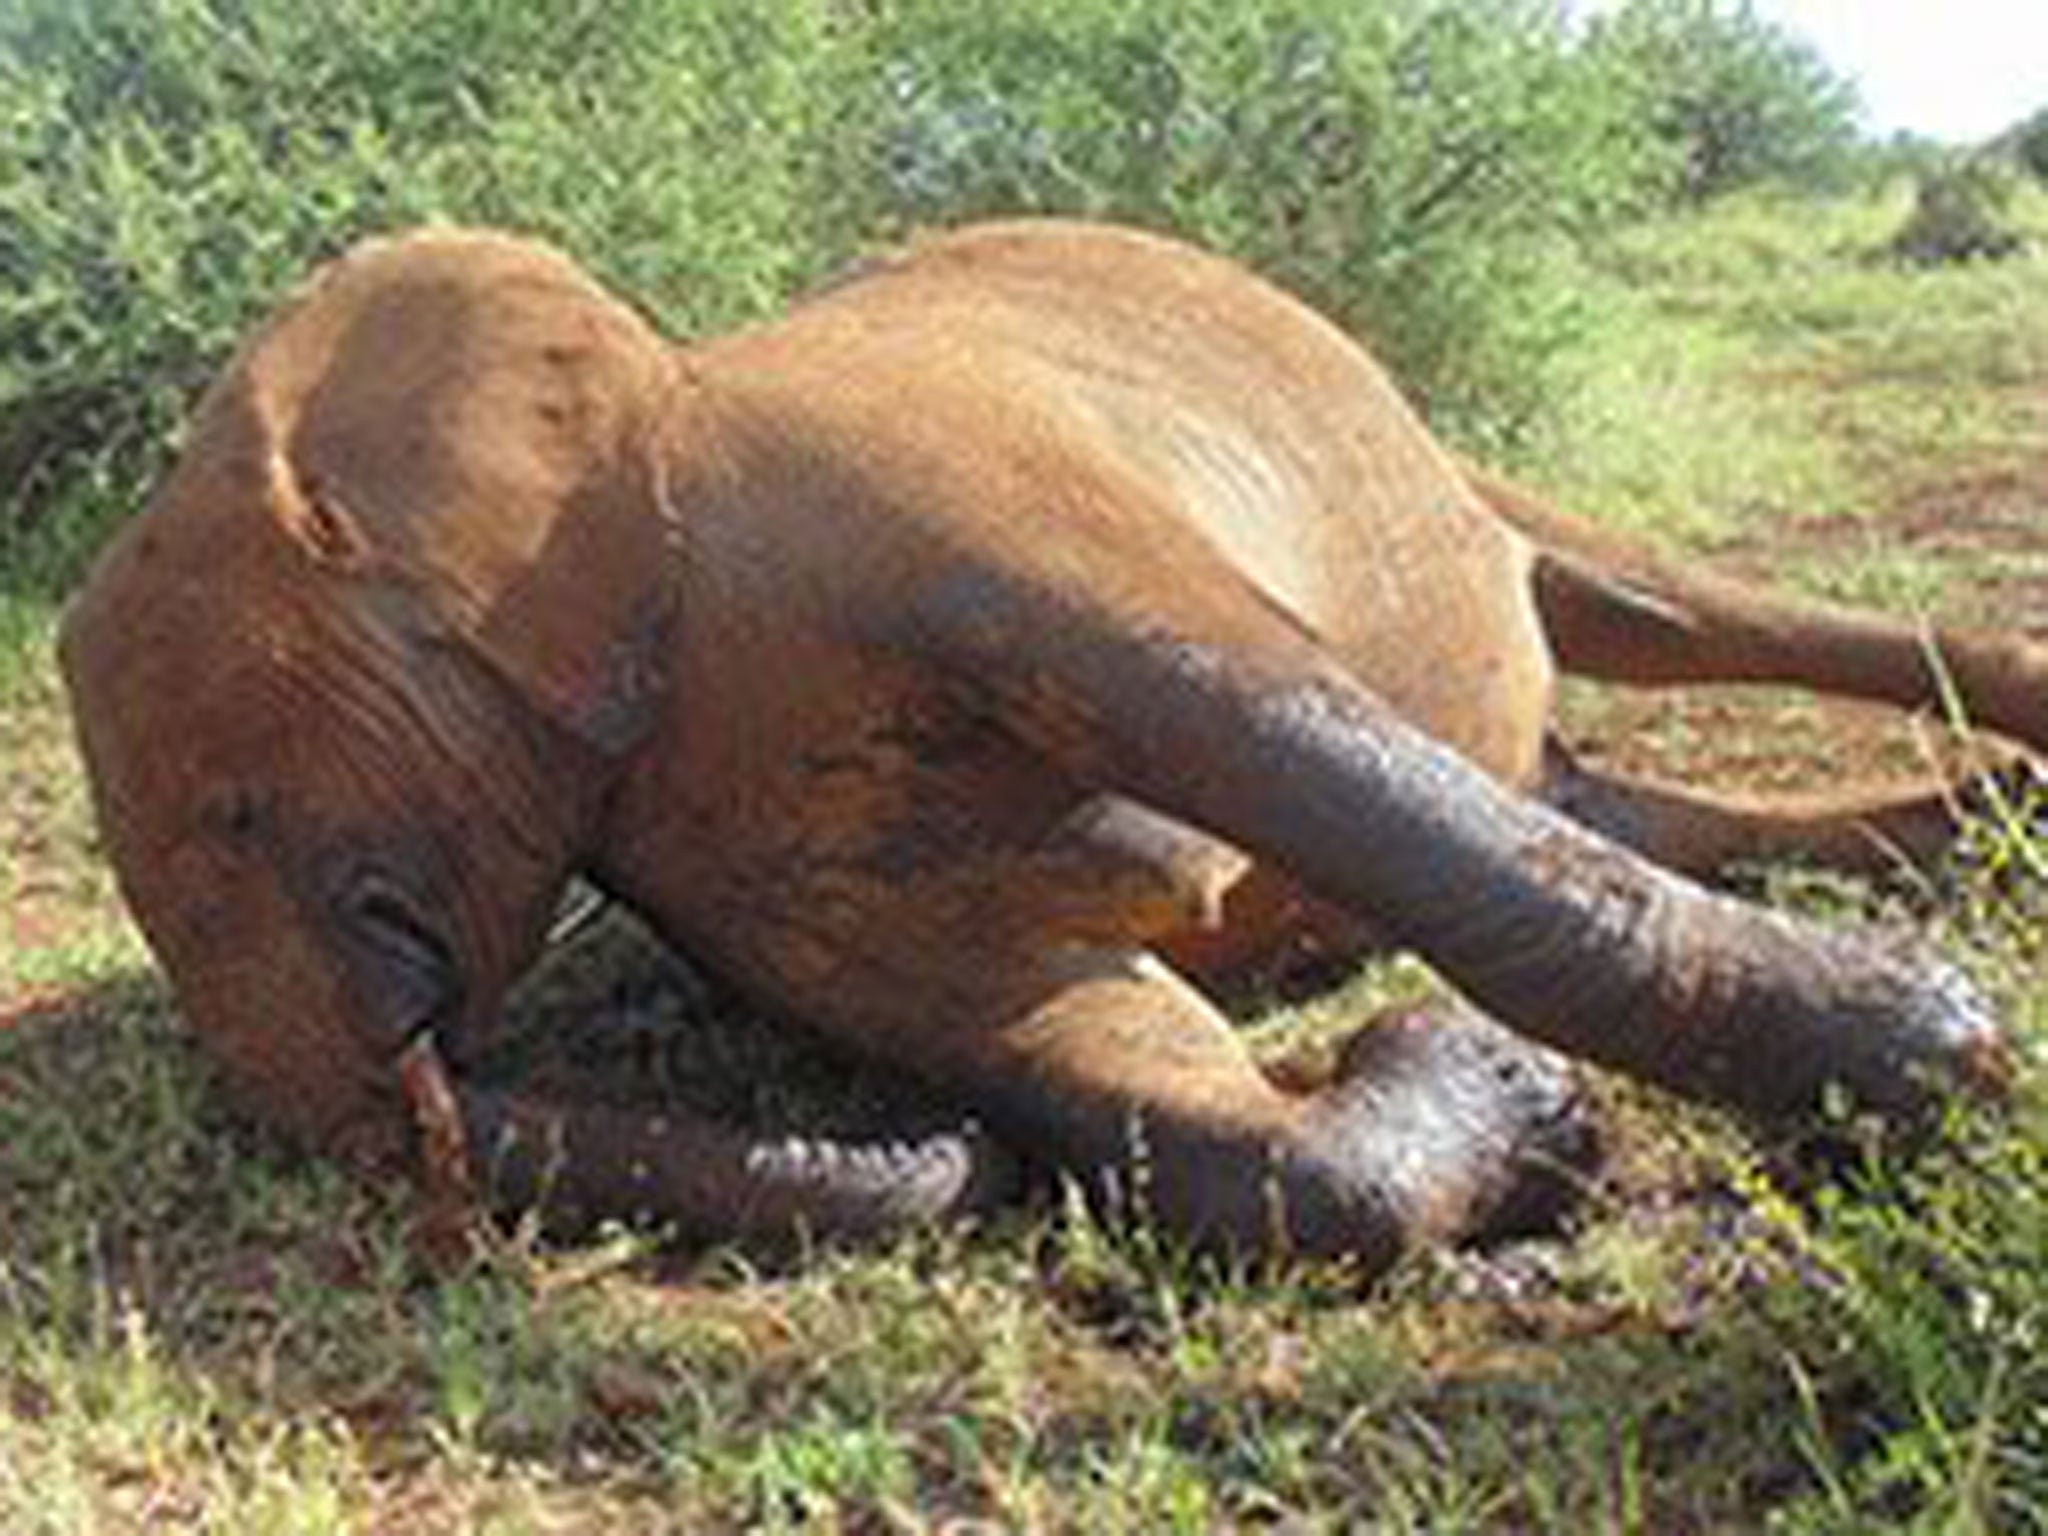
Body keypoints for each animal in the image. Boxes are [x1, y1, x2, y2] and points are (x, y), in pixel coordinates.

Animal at [61, 219, 2036, 1268]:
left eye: (235, 814)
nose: (954, 1153)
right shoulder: (739, 850)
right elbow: (1116, 1070)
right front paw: (1500, 1100)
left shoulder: (930, 487)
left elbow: (1286, 726)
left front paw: (1935, 1052)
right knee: (1606, 787)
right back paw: (1972, 822)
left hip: (1458, 482)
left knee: (1666, 621)